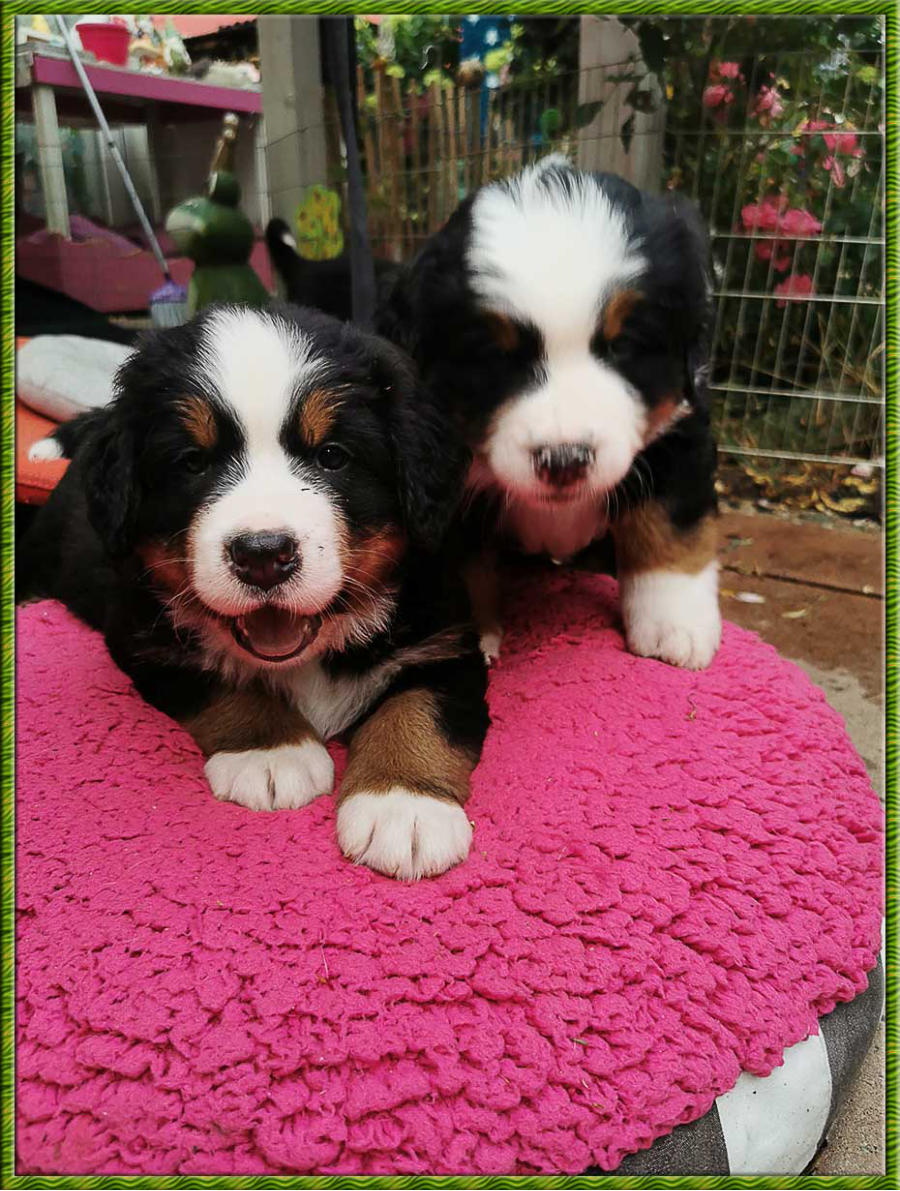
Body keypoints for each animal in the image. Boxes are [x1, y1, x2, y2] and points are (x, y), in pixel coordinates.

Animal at [18, 303, 488, 881]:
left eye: (332, 456)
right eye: (193, 462)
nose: (263, 554)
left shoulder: (442, 640)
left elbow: (419, 708)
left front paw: (404, 804)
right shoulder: (143, 637)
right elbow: (223, 682)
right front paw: (271, 750)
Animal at [376, 156, 721, 670]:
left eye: (623, 345)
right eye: (494, 358)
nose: (564, 460)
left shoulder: (678, 431)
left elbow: (669, 527)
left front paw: (673, 625)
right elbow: (464, 569)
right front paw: (475, 636)